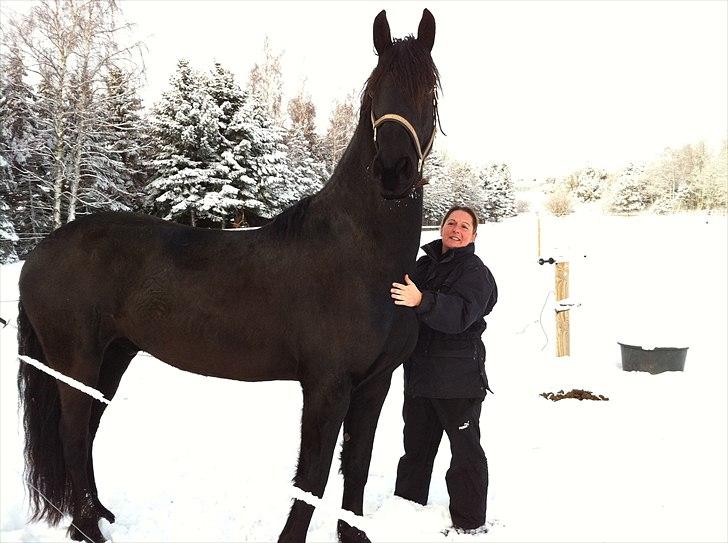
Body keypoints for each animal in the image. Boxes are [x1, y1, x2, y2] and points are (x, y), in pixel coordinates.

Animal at [15, 8, 438, 543]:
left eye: (428, 92)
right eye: (374, 92)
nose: (393, 172)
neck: (367, 260)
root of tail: (39, 253)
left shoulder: (374, 385)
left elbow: (355, 465)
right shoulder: (327, 385)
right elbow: (313, 475)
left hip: (112, 358)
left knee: (86, 431)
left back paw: (94, 517)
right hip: (77, 360)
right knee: (72, 434)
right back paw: (88, 527)